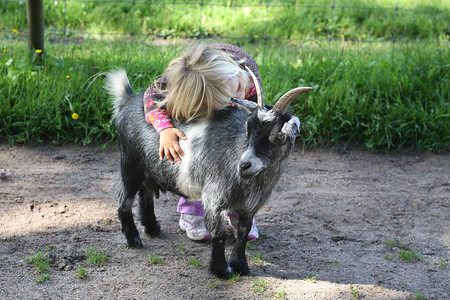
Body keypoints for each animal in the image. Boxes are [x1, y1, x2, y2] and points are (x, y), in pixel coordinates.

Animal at [107, 68, 312, 278]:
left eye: (278, 136)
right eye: (249, 130)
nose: (244, 165)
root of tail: (129, 99)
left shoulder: (249, 206)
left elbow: (243, 233)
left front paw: (240, 266)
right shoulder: (214, 198)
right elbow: (219, 235)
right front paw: (221, 270)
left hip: (149, 168)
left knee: (146, 193)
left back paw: (152, 227)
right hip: (131, 164)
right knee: (124, 201)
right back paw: (133, 239)